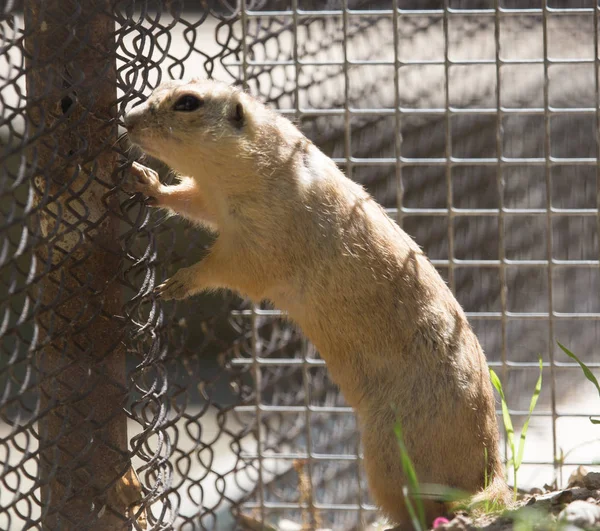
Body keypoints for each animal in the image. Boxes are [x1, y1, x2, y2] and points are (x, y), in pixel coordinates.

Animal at [123, 78, 510, 528]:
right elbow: (192, 201)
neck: (263, 162)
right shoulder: (215, 200)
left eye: (188, 103)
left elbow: (231, 268)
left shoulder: (263, 237)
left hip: (390, 454)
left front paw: (175, 283)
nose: (127, 119)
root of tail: (492, 475)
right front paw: (147, 183)